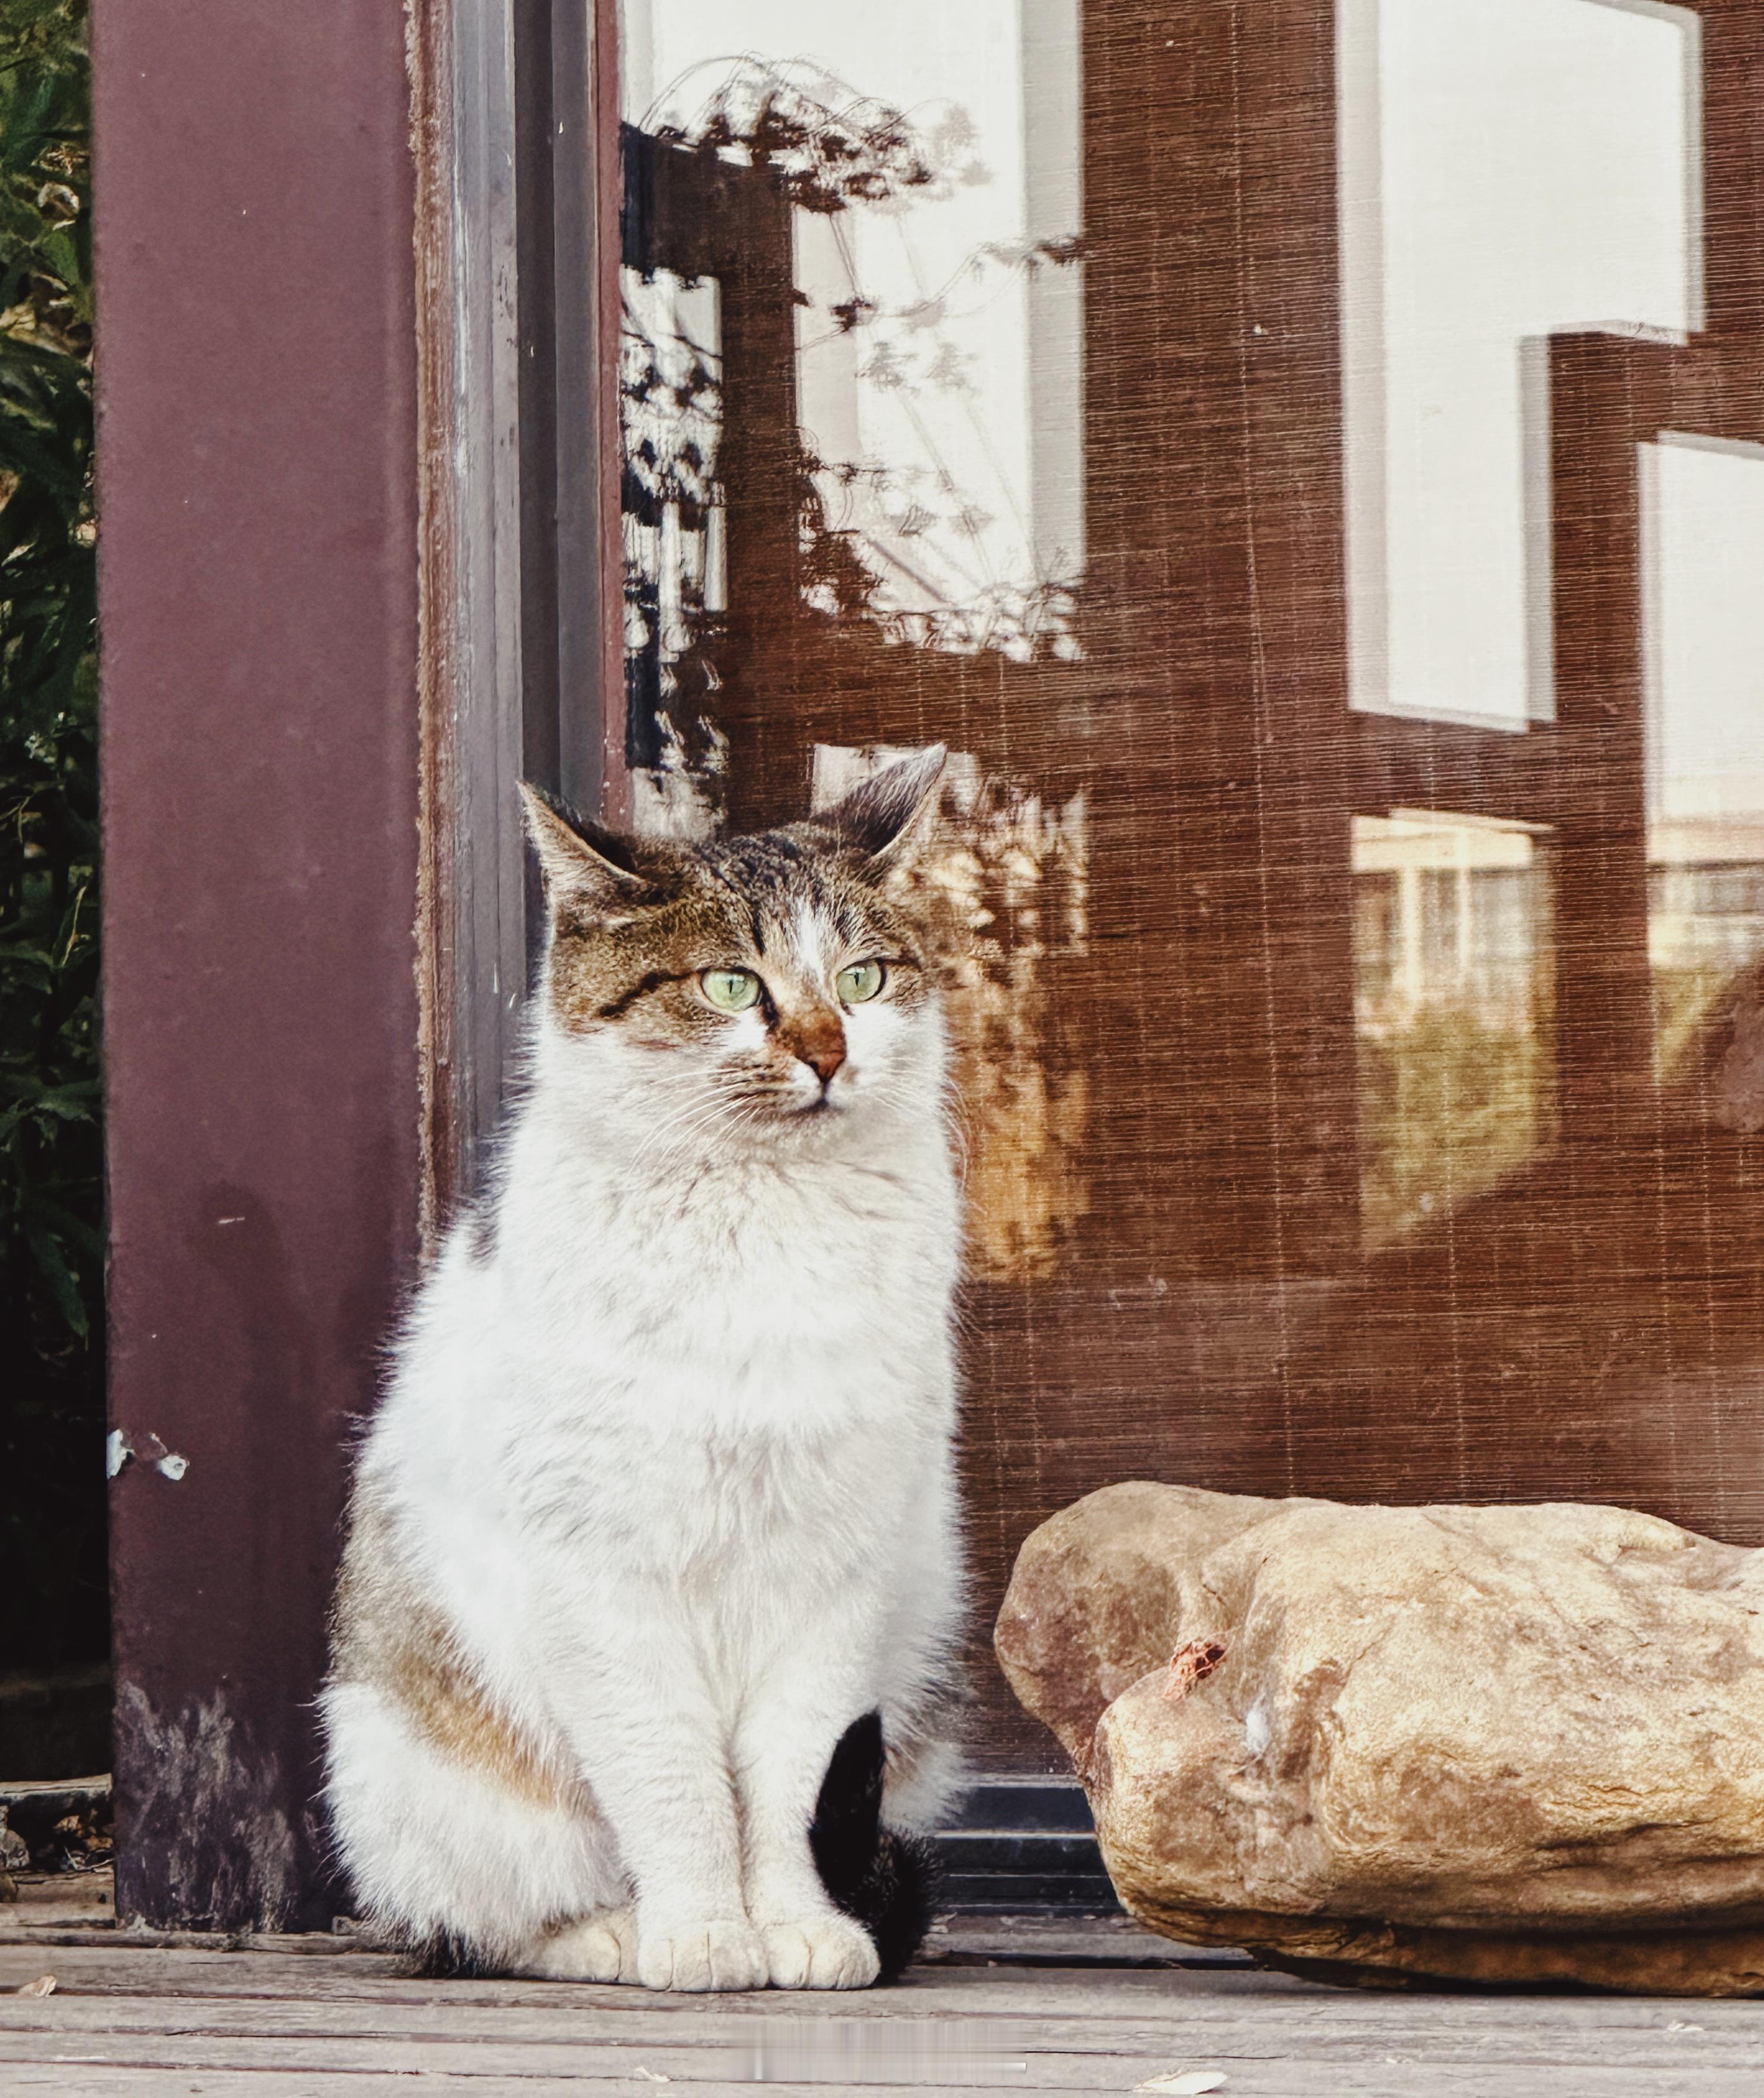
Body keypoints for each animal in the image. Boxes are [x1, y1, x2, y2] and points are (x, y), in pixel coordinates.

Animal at [323, 746, 969, 1989]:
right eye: (727, 986)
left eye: (861, 977)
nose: (828, 1049)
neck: (765, 1225)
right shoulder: (603, 1575)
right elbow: (672, 1781)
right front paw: (704, 1932)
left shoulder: (833, 1571)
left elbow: (791, 1782)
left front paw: (800, 1928)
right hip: (418, 1774)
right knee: (484, 1918)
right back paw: (610, 1933)